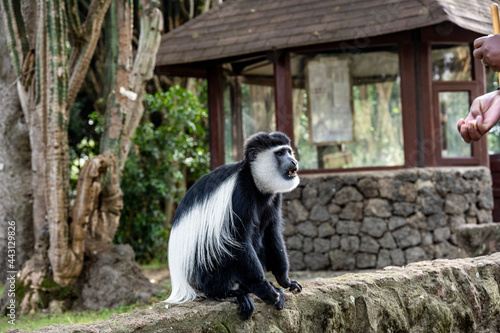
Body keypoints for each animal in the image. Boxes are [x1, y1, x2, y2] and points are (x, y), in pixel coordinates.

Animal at [166, 130, 302, 320]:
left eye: (289, 152)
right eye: (280, 153)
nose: (293, 161)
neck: (254, 181)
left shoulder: (274, 198)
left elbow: (271, 233)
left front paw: (285, 281)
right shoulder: (240, 193)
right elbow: (237, 240)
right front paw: (265, 290)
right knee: (218, 249)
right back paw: (228, 294)